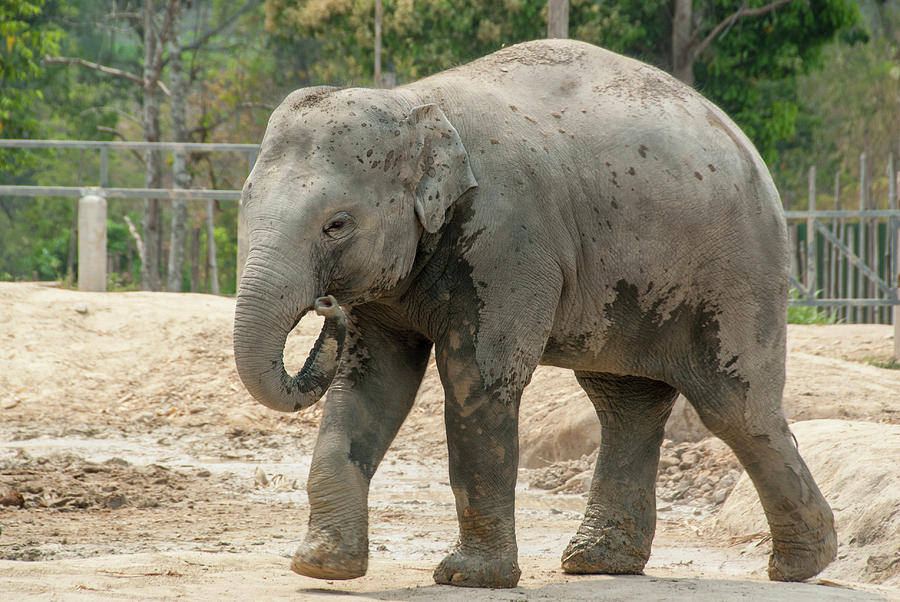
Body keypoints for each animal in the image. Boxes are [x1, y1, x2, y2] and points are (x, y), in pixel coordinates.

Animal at [232, 38, 836, 584]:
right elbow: (370, 383)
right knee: (625, 403)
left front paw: (468, 578)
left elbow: (478, 380)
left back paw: (801, 566)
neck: (413, 102)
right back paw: (599, 563)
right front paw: (320, 567)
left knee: (735, 408)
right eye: (243, 203)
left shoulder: (508, 240)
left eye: (337, 224)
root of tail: (746, 145)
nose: (327, 304)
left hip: (738, 272)